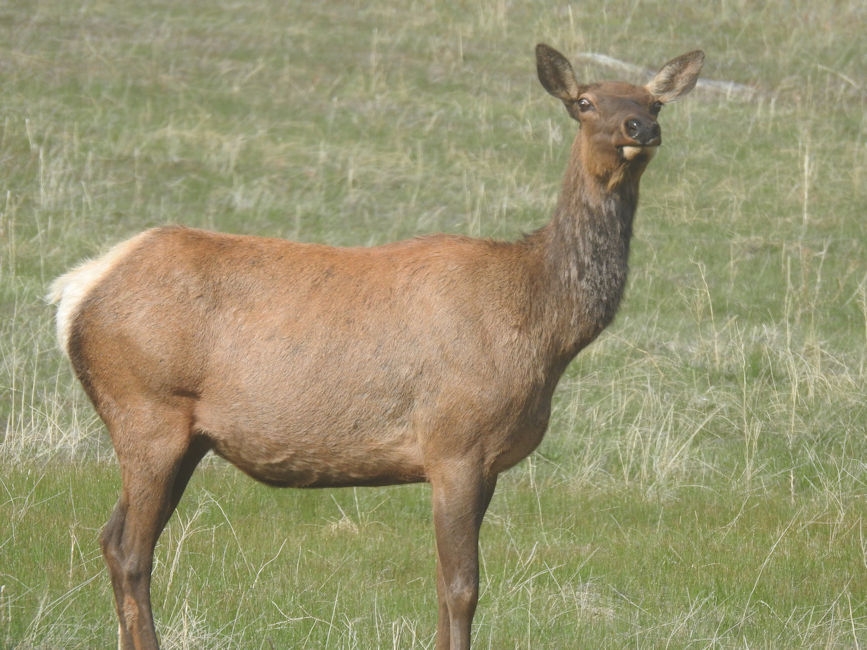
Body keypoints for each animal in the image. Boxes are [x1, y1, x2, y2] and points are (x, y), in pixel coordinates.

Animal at [48, 43, 703, 649]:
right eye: (584, 102)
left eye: (653, 102)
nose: (639, 129)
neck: (542, 329)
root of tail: (77, 291)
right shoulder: (454, 443)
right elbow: (462, 585)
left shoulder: (484, 463)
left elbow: (444, 586)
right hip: (146, 409)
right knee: (131, 551)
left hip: (186, 436)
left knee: (111, 538)